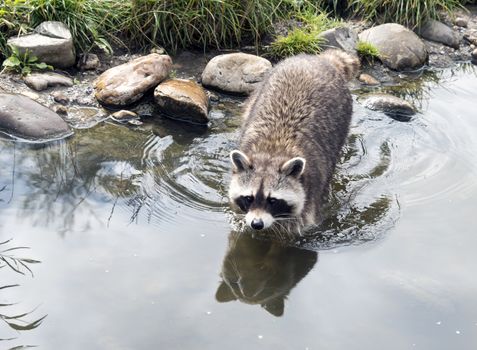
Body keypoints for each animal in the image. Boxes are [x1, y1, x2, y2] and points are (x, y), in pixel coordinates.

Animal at [227, 49, 356, 235]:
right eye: (249, 198)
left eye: (273, 200)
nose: (257, 224)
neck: (272, 150)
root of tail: (318, 59)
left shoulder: (310, 193)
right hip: (258, 91)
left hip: (344, 113)